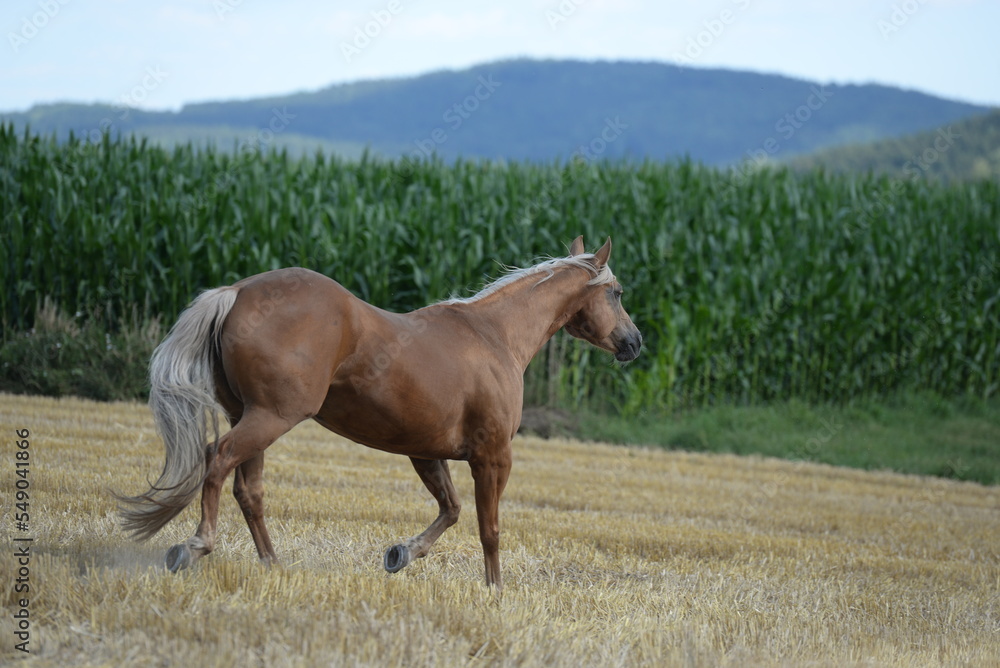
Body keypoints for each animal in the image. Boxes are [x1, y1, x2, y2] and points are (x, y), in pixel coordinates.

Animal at [118, 236, 642, 589]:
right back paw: (195, 547)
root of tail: (236, 292)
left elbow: (450, 510)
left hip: (248, 415)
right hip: (270, 417)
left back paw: (273, 565)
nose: (634, 343)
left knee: (249, 490)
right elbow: (488, 528)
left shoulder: (425, 452)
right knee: (217, 459)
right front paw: (495, 589)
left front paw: (400, 554)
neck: (494, 336)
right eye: (616, 292)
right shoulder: (493, 456)